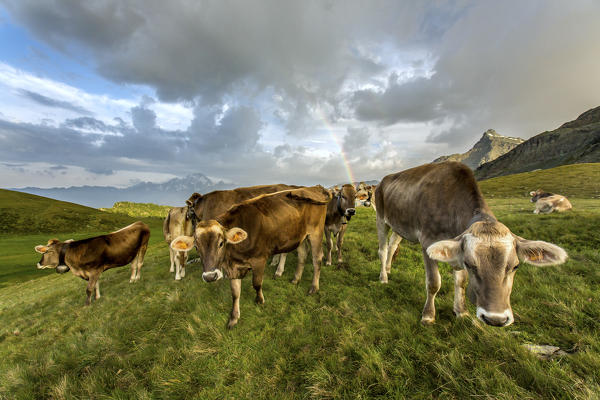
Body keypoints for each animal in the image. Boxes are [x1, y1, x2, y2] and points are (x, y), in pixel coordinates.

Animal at [170, 187, 328, 328]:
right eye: (197, 247)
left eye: (221, 243)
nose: (210, 276)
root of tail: (315, 188)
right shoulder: (232, 268)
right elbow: (235, 293)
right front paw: (234, 318)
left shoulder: (259, 260)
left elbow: (256, 283)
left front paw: (259, 300)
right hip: (299, 237)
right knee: (302, 255)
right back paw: (296, 279)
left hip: (316, 232)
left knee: (317, 259)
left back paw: (314, 287)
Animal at [376, 163, 568, 328]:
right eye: (470, 264)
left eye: (515, 266)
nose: (495, 319)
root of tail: (384, 180)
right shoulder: (427, 242)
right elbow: (433, 282)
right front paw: (428, 316)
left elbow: (460, 282)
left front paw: (461, 311)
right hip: (381, 218)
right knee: (383, 249)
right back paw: (383, 277)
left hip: (400, 225)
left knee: (393, 245)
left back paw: (389, 269)